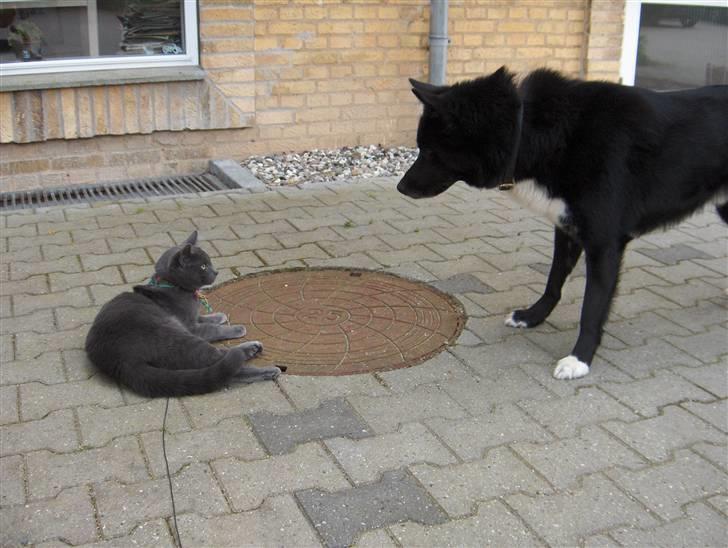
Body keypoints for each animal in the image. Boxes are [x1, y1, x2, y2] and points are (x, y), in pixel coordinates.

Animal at [82, 231, 282, 398]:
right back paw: (265, 366)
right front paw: (235, 328)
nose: (216, 271)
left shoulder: (191, 318)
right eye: (203, 266)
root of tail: (123, 362)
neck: (175, 287)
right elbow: (212, 329)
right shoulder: (190, 326)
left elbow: (204, 317)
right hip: (178, 336)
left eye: (209, 263)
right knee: (225, 362)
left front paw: (219, 316)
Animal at [398, 66, 728, 378]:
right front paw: (533, 317)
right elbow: (553, 281)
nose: (400, 187)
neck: (534, 130)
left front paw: (580, 359)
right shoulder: (567, 230)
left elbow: (592, 306)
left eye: (430, 152)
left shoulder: (604, 244)